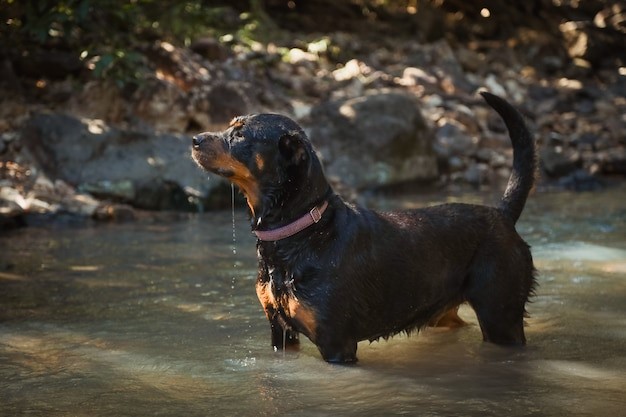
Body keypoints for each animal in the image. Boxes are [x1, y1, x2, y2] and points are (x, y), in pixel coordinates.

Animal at [191, 92, 536, 362]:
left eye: (240, 135)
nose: (194, 139)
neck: (300, 234)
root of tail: (501, 215)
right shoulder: (281, 332)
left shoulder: (336, 343)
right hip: (445, 312)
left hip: (501, 316)